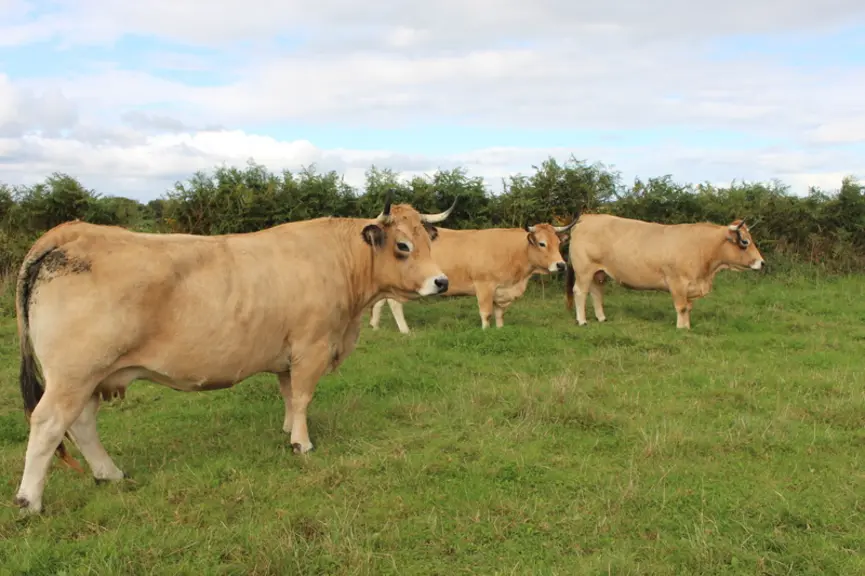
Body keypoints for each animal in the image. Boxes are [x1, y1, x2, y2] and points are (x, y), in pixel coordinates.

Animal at [12, 192, 457, 515]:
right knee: (49, 424)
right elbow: (303, 396)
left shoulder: (286, 355)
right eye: (403, 245)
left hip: (88, 377)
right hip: (74, 375)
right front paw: (302, 444)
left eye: (426, 239)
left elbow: (288, 396)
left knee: (82, 424)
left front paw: (287, 429)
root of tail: (73, 232)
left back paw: (110, 473)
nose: (442, 281)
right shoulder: (311, 346)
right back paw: (29, 501)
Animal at [369, 218, 578, 332]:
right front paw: (486, 331)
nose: (560, 265)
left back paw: (375, 326)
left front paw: (500, 329)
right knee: (394, 304)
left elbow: (499, 313)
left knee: (380, 301)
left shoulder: (501, 290)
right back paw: (405, 331)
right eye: (542, 243)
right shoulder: (484, 286)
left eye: (558, 243)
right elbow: (486, 313)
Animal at [564, 214, 765, 329]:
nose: (762, 263)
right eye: (745, 242)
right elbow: (681, 307)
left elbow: (688, 307)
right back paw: (582, 321)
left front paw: (687, 326)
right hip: (584, 270)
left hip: (598, 273)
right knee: (580, 292)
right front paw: (681, 328)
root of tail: (587, 217)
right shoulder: (677, 283)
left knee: (596, 292)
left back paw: (601, 318)